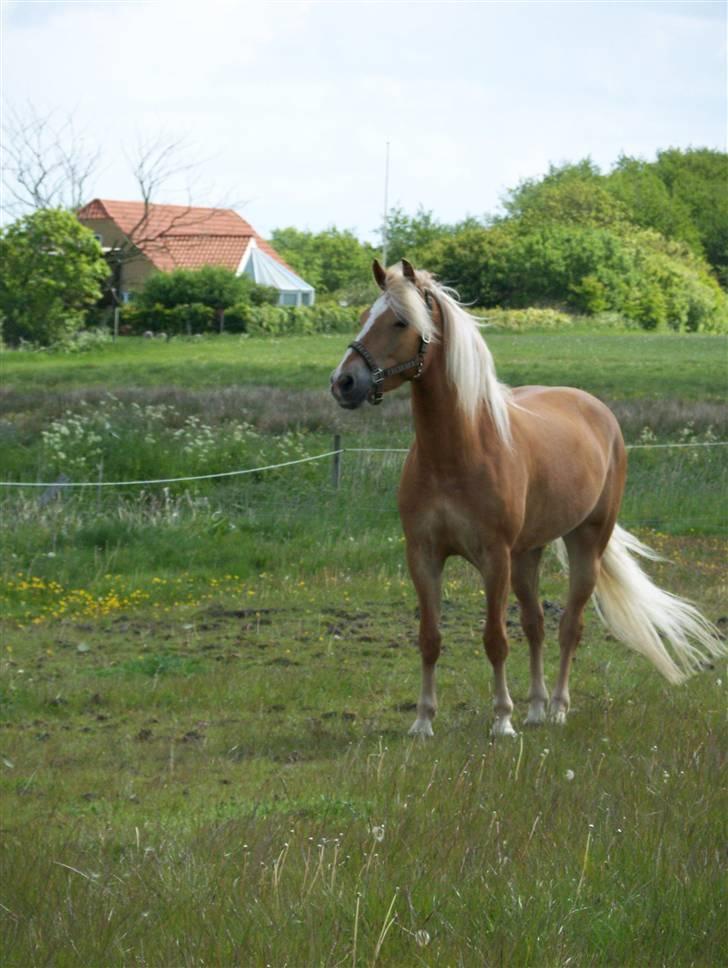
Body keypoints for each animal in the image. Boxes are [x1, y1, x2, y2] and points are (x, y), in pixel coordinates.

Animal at [330, 260, 724, 736]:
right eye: (363, 316)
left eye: (400, 322)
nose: (343, 382)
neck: (456, 452)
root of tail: (599, 411)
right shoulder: (424, 555)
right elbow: (430, 637)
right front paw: (423, 721)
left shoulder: (494, 558)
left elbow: (495, 639)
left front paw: (502, 719)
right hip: (527, 553)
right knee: (535, 624)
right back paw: (535, 707)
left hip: (584, 544)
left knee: (569, 626)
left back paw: (556, 708)